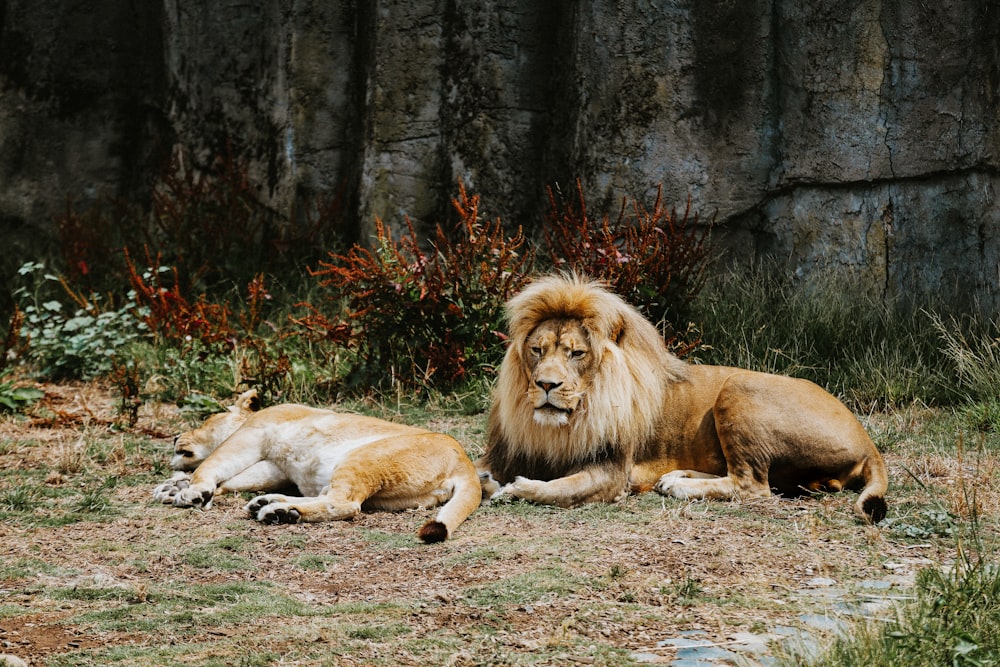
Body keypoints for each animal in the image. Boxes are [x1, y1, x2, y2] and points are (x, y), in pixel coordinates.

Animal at [154, 392, 482, 544]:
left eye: (205, 420)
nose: (175, 437)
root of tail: (465, 463)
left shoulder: (251, 435)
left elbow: (212, 465)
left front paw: (192, 491)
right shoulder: (273, 466)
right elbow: (229, 481)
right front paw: (173, 487)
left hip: (363, 457)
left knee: (345, 505)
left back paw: (280, 512)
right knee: (328, 497)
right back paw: (271, 505)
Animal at [478, 274, 892, 524]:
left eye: (576, 353)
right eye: (537, 350)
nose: (546, 384)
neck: (562, 424)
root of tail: (868, 441)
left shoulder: (612, 471)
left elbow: (558, 489)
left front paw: (514, 489)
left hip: (738, 389)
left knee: (752, 486)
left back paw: (680, 486)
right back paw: (675, 477)